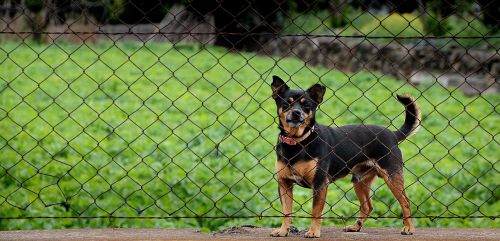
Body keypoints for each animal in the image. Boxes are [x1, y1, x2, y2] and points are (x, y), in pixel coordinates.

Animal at [270, 75, 418, 237]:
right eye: (286, 104)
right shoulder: (284, 184)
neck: (298, 142)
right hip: (359, 180)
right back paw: (355, 227)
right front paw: (283, 230)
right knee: (367, 206)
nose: (296, 113)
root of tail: (393, 134)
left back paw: (409, 228)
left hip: (391, 177)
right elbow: (286, 212)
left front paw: (313, 231)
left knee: (405, 202)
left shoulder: (320, 183)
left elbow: (316, 211)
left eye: (306, 105)